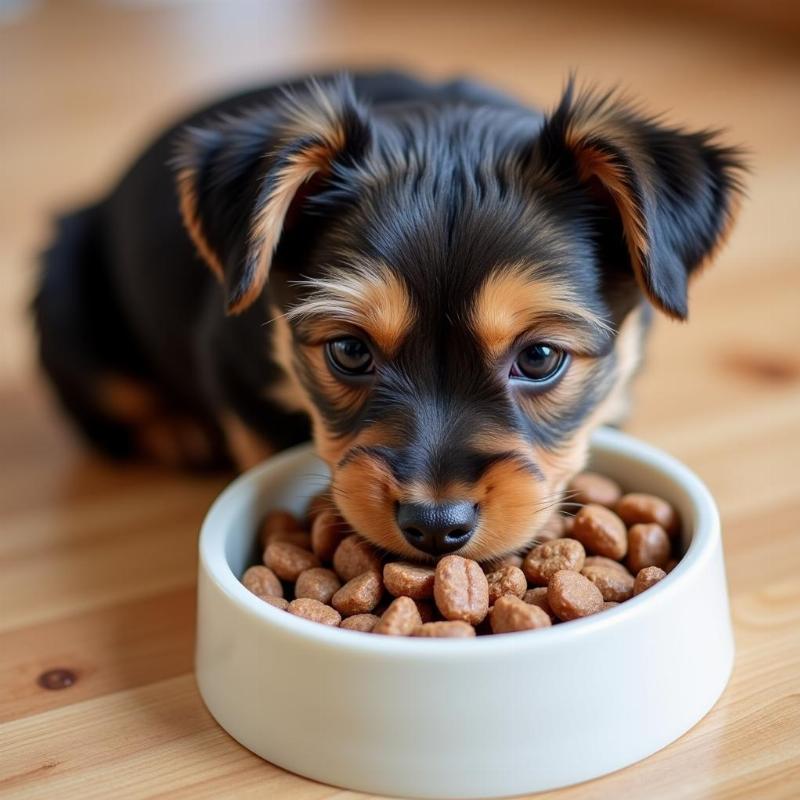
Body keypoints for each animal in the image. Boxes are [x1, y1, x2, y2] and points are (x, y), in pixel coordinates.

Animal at [32, 72, 744, 564]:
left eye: (540, 358)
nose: (435, 526)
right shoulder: (229, 360)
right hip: (64, 295)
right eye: (349, 351)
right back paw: (178, 430)